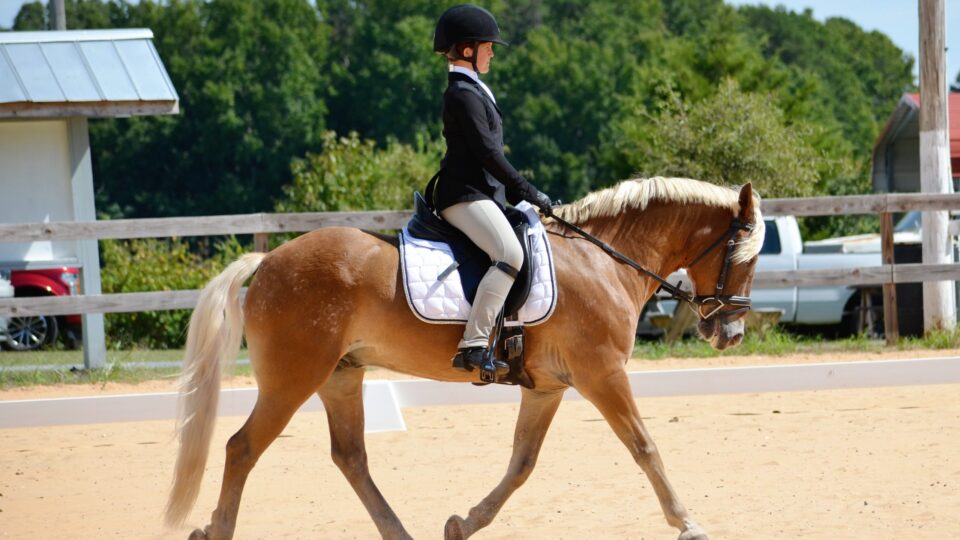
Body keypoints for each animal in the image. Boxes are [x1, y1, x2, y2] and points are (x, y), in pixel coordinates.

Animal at [164, 176, 765, 540]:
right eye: (744, 256)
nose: (731, 333)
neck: (604, 262)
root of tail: (268, 261)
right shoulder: (603, 374)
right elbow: (644, 446)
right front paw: (688, 522)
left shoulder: (548, 386)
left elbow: (522, 464)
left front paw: (462, 523)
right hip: (293, 378)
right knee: (242, 448)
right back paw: (216, 529)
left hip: (341, 376)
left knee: (350, 456)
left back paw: (401, 533)